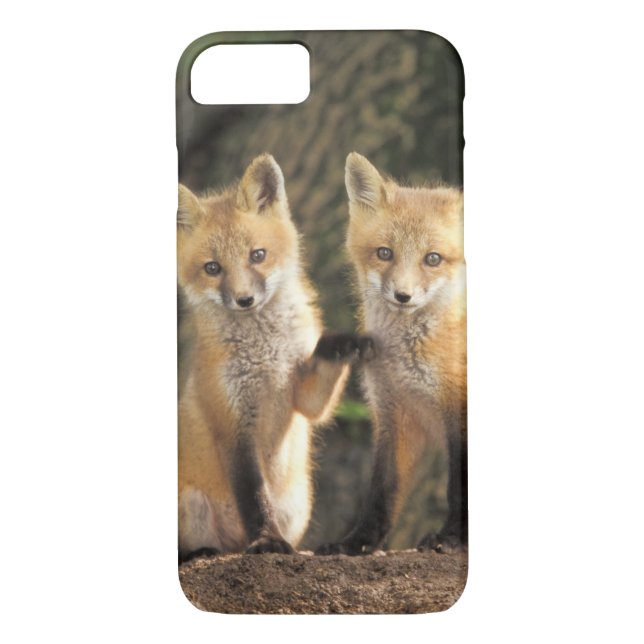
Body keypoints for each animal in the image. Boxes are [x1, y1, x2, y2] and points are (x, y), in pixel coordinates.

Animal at [177, 154, 372, 562]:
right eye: (212, 268)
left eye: (258, 255)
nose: (244, 300)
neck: (264, 355)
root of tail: (232, 544)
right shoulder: (232, 424)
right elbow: (253, 497)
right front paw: (267, 540)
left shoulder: (303, 396)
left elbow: (319, 387)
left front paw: (342, 344)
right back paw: (204, 552)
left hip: (299, 505)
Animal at [317, 152, 466, 555]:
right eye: (384, 253)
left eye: (433, 259)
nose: (403, 295)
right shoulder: (393, 411)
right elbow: (382, 489)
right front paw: (358, 542)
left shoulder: (458, 410)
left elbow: (459, 486)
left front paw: (452, 538)